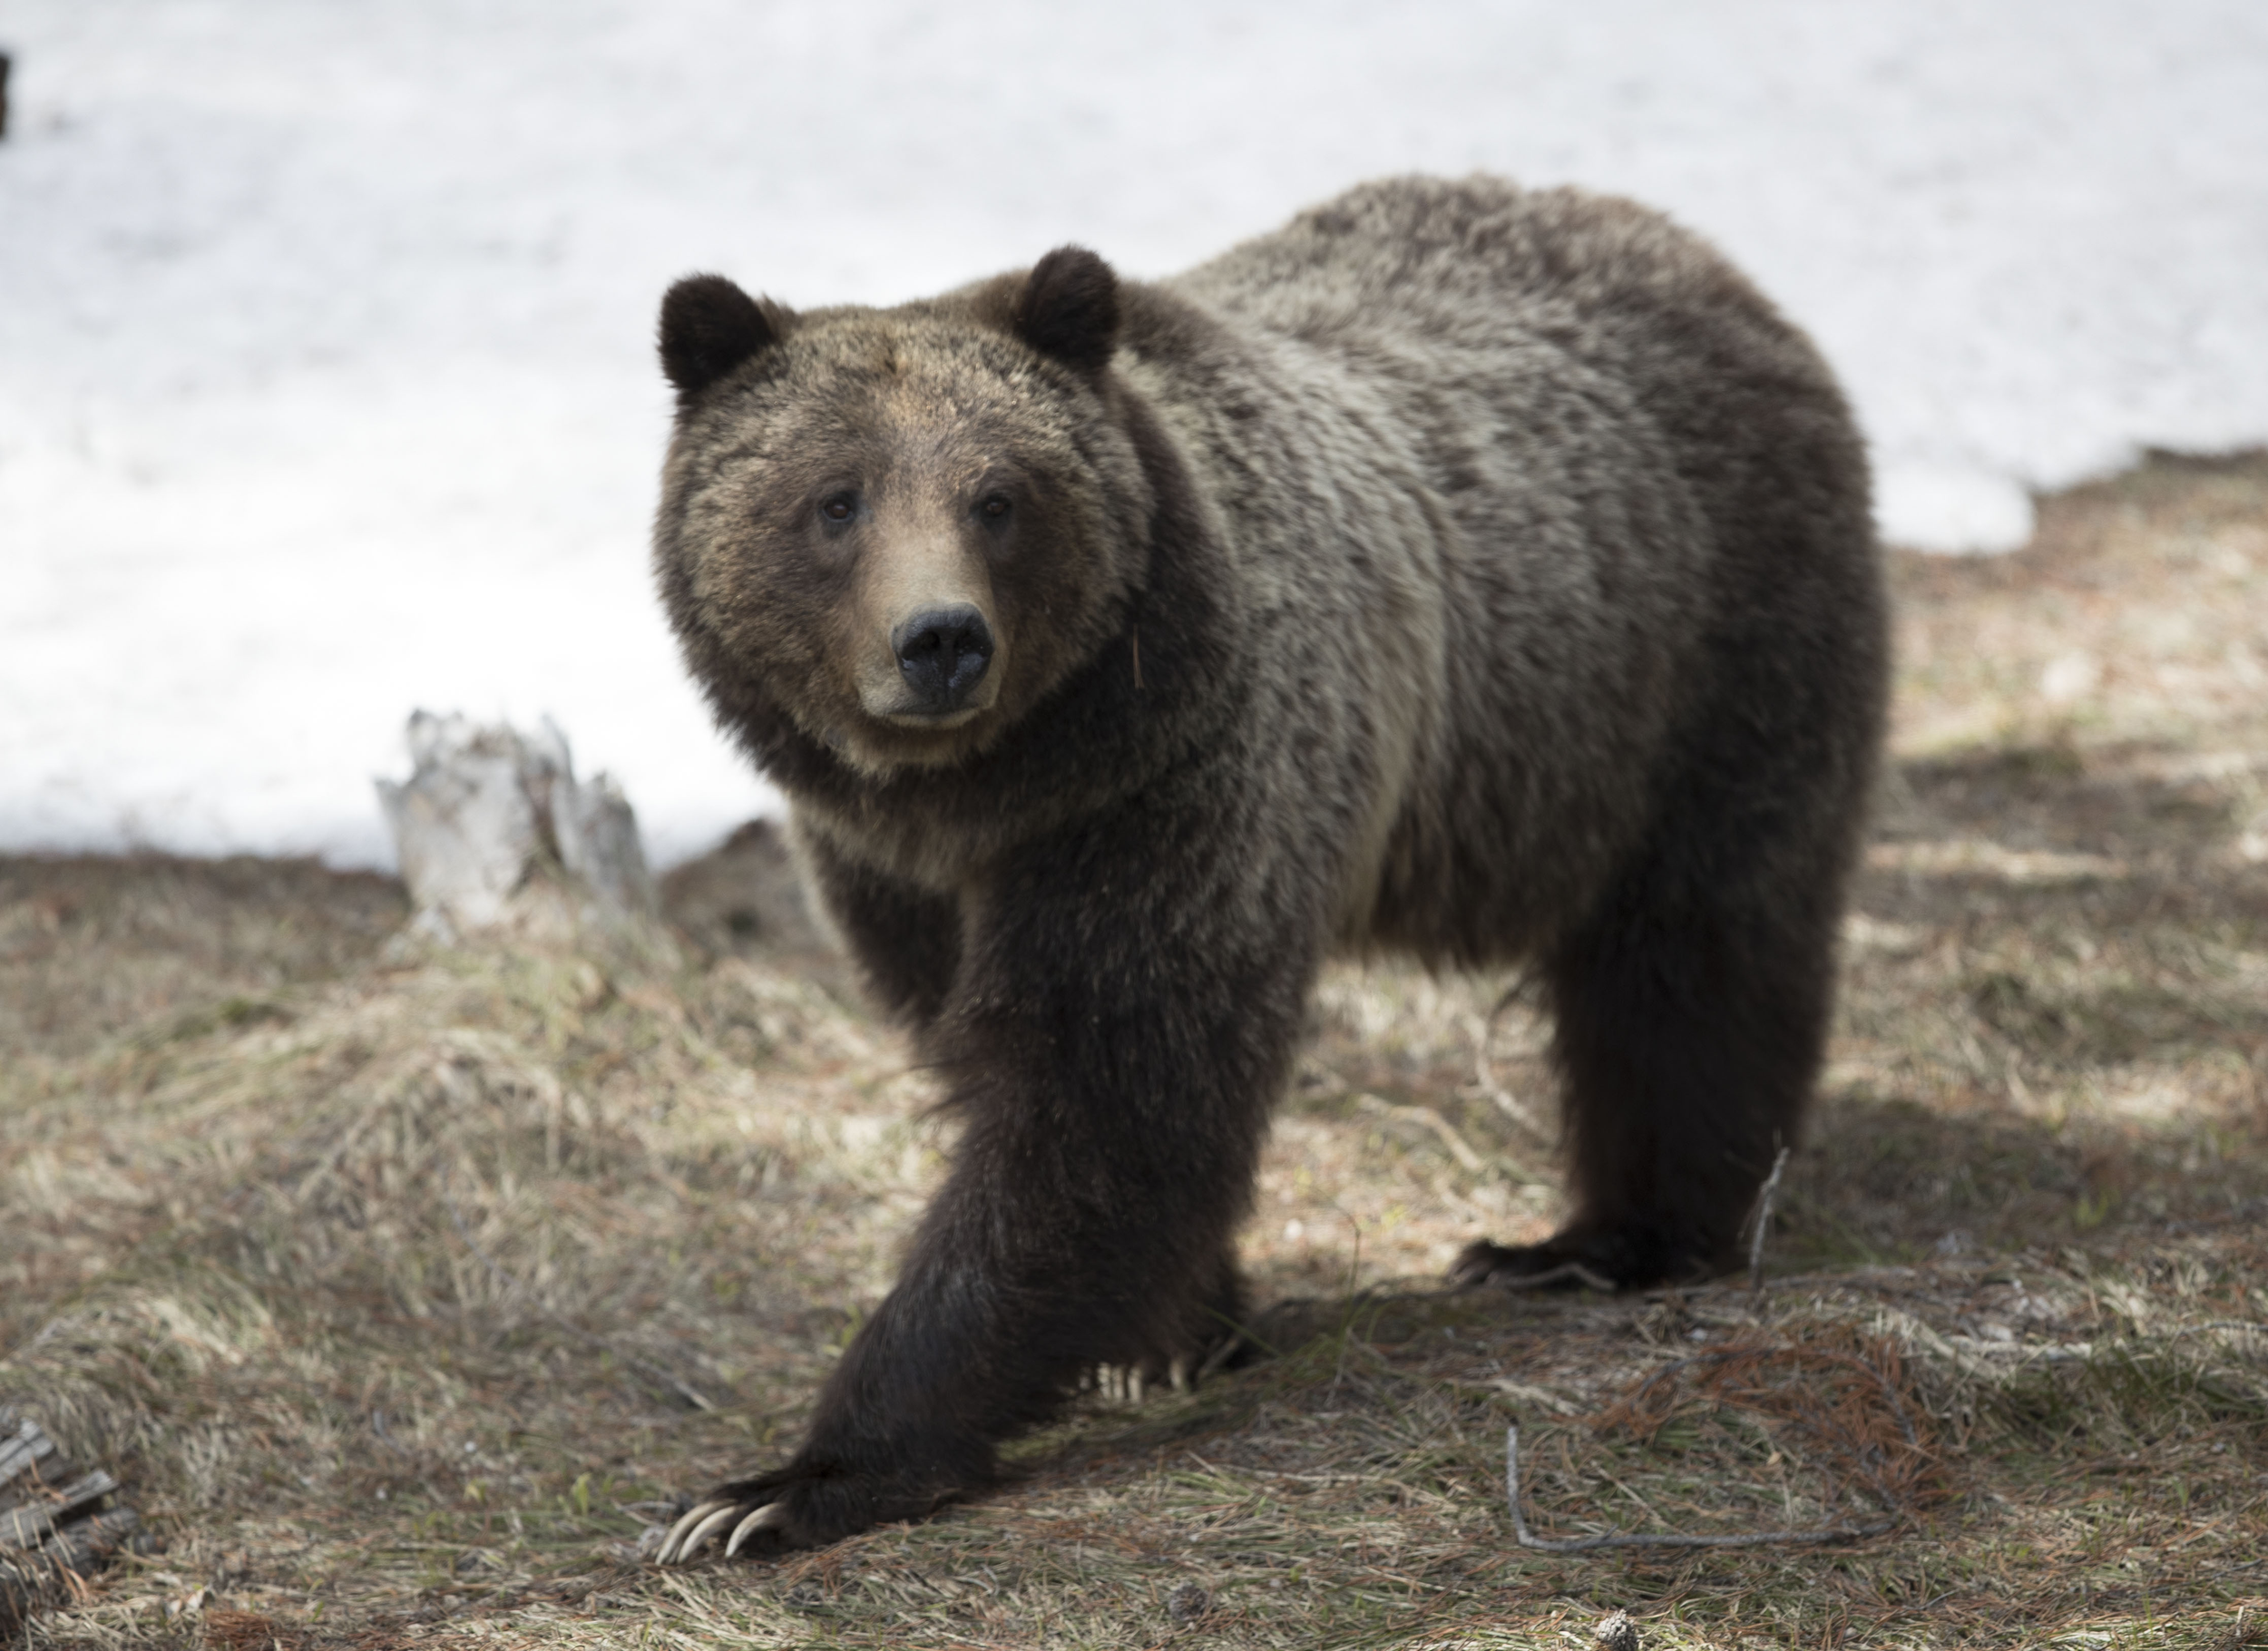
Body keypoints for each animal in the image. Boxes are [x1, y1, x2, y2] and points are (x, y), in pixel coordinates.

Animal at [646, 175, 1888, 1562]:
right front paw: (1171, 1336)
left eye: (998, 496)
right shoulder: (897, 879)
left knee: (1691, 964)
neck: (985, 795)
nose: (941, 642)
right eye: (837, 497)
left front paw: (783, 1484)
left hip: (1693, 677)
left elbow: (1104, 1106)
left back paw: (1606, 1240)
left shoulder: (1171, 793)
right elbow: (1023, 1083)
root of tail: (1700, 258)